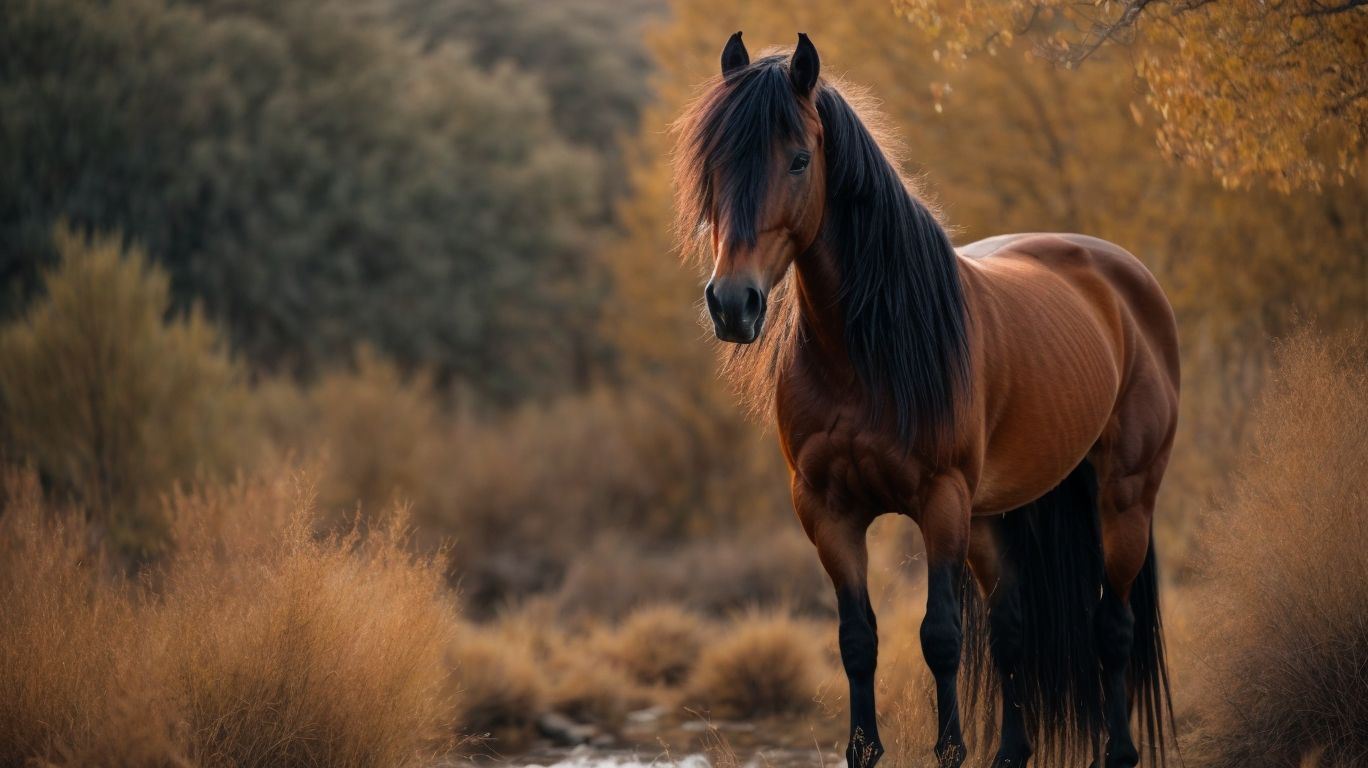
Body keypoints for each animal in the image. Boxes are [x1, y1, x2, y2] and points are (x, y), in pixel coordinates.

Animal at [672, 33, 1180, 768]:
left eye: (799, 159)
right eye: (714, 163)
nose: (733, 303)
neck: (866, 354)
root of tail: (1124, 276)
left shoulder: (939, 502)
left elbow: (940, 637)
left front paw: (950, 748)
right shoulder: (828, 512)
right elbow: (858, 642)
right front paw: (864, 746)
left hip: (1125, 496)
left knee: (1112, 626)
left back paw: (1117, 751)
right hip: (997, 515)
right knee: (1011, 630)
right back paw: (1011, 752)